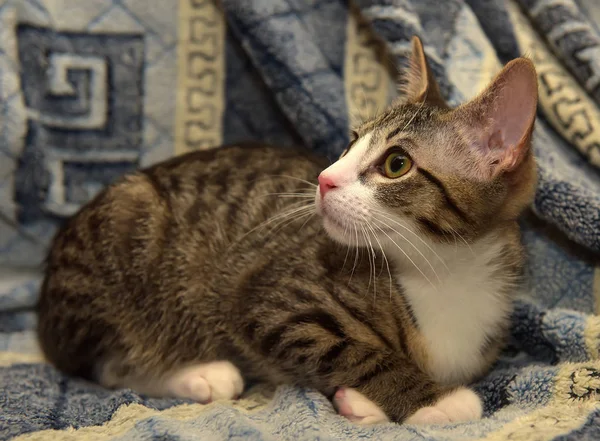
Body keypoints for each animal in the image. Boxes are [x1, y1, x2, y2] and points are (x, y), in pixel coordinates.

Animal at [36, 37, 540, 422]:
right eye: (350, 143)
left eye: (396, 164)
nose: (324, 178)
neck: (443, 274)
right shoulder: (272, 299)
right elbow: (351, 352)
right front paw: (435, 401)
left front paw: (364, 405)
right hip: (123, 246)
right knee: (107, 364)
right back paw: (202, 374)